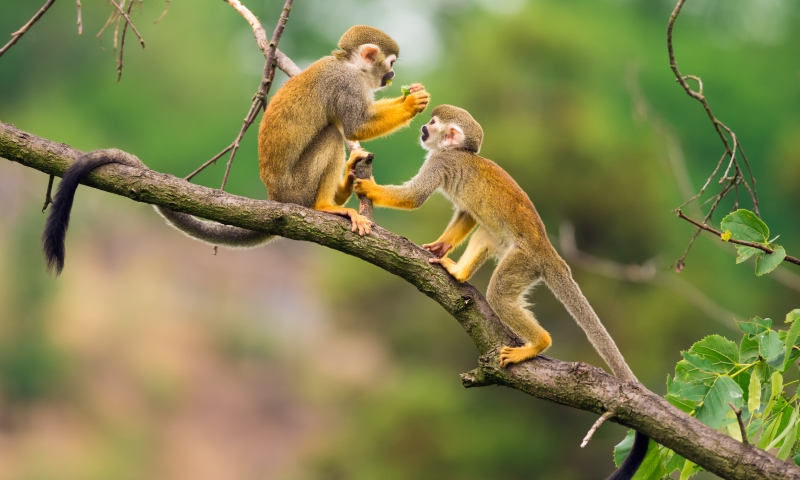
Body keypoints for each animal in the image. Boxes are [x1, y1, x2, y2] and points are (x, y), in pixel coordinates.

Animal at [42, 25, 432, 274]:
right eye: (390, 64)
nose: (391, 78)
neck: (349, 66)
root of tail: (276, 198)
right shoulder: (347, 85)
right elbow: (354, 126)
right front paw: (412, 104)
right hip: (297, 188)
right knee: (332, 136)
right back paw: (327, 205)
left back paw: (346, 183)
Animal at [354, 105, 648, 480]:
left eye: (433, 124)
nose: (422, 129)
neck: (460, 153)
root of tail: (549, 251)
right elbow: (466, 214)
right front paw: (441, 246)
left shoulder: (440, 162)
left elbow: (416, 197)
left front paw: (369, 187)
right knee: (487, 229)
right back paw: (459, 272)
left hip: (524, 261)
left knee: (499, 293)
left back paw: (538, 343)